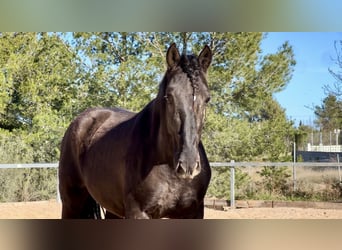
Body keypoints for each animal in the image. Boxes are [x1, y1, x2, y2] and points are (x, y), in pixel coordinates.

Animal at [59, 43, 214, 219]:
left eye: (207, 99)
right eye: (169, 97)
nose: (188, 165)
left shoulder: (193, 212)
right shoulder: (137, 212)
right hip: (71, 203)